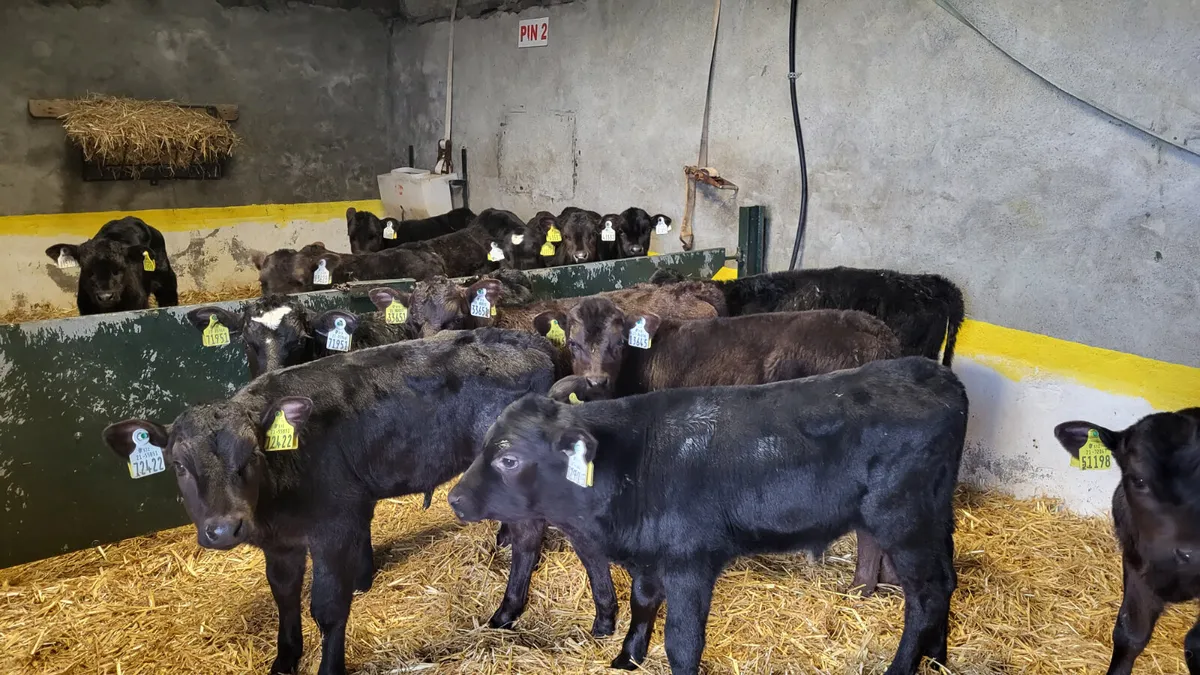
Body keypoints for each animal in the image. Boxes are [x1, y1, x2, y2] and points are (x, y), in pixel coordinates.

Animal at [100, 330, 618, 675]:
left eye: (250, 456)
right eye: (179, 465)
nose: (225, 528)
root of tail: (530, 339)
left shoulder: (333, 526)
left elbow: (328, 607)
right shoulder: (280, 544)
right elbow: (284, 595)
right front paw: (284, 659)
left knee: (542, 533)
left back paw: (517, 610)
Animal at [448, 356, 967, 674]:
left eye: (509, 458)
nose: (455, 499)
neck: (634, 462)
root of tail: (933, 373)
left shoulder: (689, 563)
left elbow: (683, 642)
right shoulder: (650, 558)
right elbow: (642, 604)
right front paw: (626, 657)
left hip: (903, 520)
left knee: (924, 596)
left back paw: (903, 666)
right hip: (935, 517)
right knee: (946, 582)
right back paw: (937, 659)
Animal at [534, 296, 903, 593]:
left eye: (619, 344)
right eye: (573, 343)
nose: (595, 381)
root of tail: (876, 332)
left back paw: (860, 588)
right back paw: (890, 582)